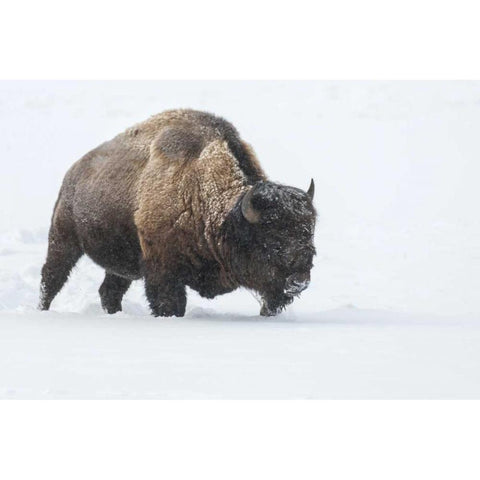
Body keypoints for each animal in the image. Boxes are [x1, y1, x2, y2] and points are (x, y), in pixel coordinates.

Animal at [39, 110, 316, 316]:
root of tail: (73, 173)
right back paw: (42, 310)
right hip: (63, 241)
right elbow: (170, 305)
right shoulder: (163, 271)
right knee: (51, 278)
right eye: (273, 240)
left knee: (109, 290)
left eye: (309, 234)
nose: (299, 280)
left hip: (118, 264)